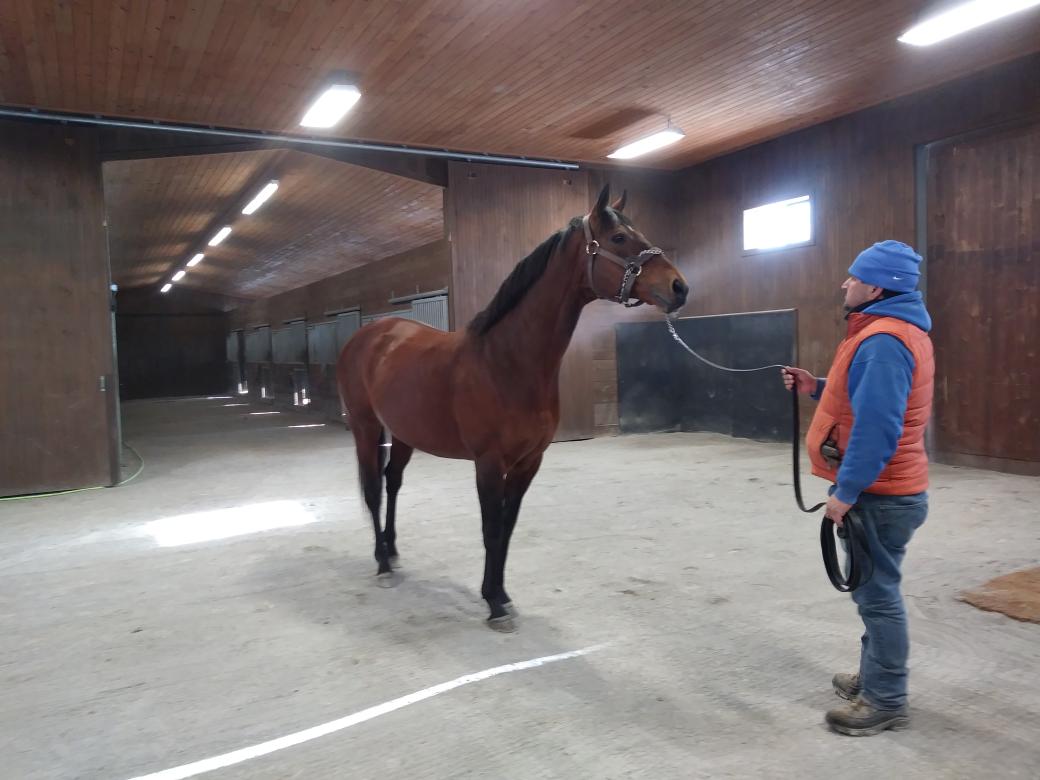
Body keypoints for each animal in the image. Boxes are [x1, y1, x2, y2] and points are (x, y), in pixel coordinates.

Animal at [336, 185, 686, 636]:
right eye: (620, 238)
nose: (679, 287)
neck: (506, 360)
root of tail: (373, 333)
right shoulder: (488, 463)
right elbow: (490, 529)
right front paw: (494, 605)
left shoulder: (528, 463)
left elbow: (507, 529)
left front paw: (501, 595)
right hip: (366, 428)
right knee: (373, 489)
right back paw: (381, 564)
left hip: (404, 433)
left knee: (392, 481)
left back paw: (393, 552)